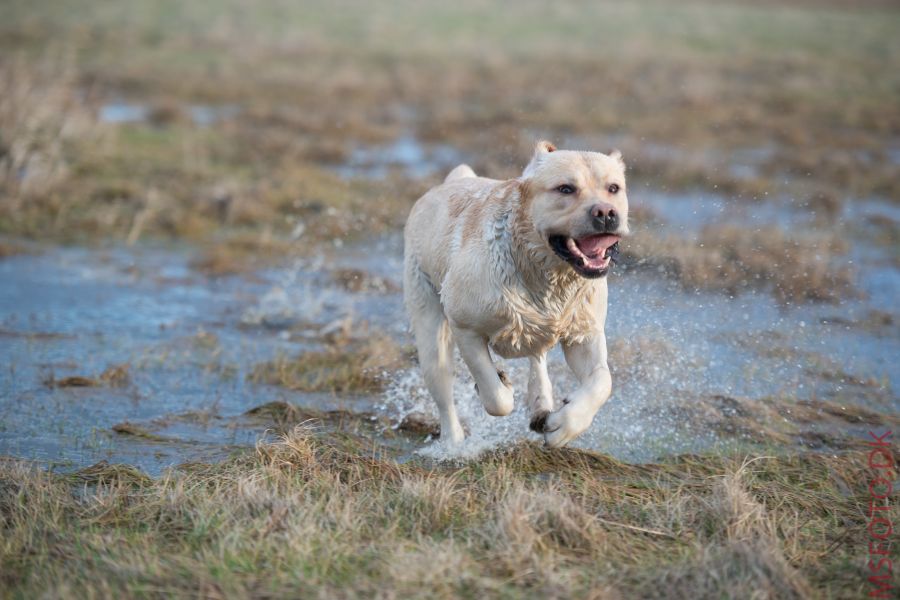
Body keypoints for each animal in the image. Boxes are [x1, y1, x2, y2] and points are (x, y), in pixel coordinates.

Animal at [404, 141, 628, 448]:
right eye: (565, 188)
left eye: (614, 188)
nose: (606, 213)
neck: (547, 273)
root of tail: (448, 184)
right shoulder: (465, 328)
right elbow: (496, 396)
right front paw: (502, 384)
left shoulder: (584, 334)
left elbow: (602, 382)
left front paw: (564, 426)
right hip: (429, 326)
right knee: (443, 388)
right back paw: (454, 443)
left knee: (538, 357)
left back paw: (540, 403)